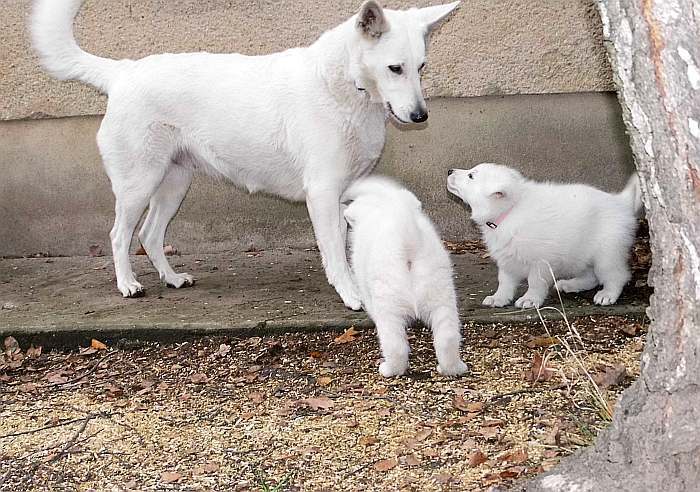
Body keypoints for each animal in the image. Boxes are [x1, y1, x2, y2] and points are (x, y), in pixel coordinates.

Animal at [31, 0, 460, 308]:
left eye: (421, 67)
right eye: (395, 68)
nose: (419, 116)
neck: (346, 85)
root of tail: (123, 73)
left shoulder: (345, 193)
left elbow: (348, 243)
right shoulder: (322, 194)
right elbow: (335, 252)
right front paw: (352, 295)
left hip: (174, 184)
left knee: (150, 235)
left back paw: (172, 279)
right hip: (138, 184)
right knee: (120, 235)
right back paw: (128, 285)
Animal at [342, 177, 468, 376]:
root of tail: (408, 239)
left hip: (388, 305)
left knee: (396, 347)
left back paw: (388, 369)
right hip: (442, 297)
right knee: (447, 339)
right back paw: (453, 368)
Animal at [448, 163, 640, 310]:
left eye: (471, 176)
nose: (449, 171)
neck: (510, 210)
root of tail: (620, 202)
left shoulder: (540, 262)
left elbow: (535, 282)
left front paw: (530, 299)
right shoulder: (507, 259)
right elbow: (504, 281)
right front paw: (499, 298)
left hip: (606, 254)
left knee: (617, 275)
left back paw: (607, 294)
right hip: (578, 255)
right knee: (591, 276)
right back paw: (570, 284)